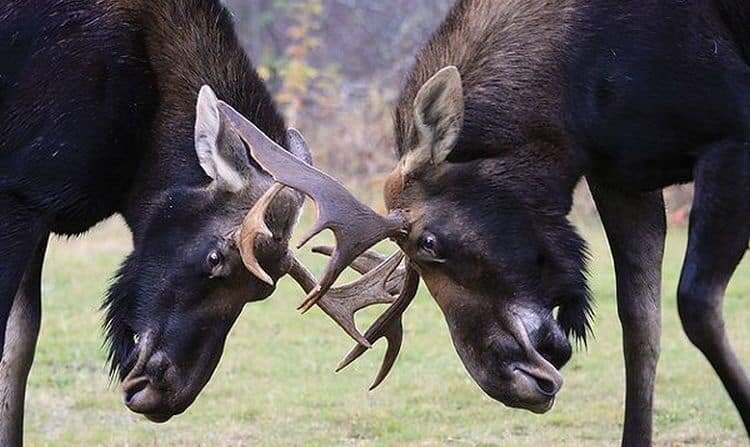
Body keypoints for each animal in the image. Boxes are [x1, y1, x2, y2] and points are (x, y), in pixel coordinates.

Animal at [0, 0, 332, 444]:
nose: (165, 391)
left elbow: (20, 346)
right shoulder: (18, 195)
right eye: (214, 258)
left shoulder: (34, 201)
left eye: (262, 291)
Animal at [217, 0, 750, 446]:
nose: (510, 381)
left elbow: (697, 304)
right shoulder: (621, 178)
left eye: (429, 241)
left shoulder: (731, 134)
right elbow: (641, 326)